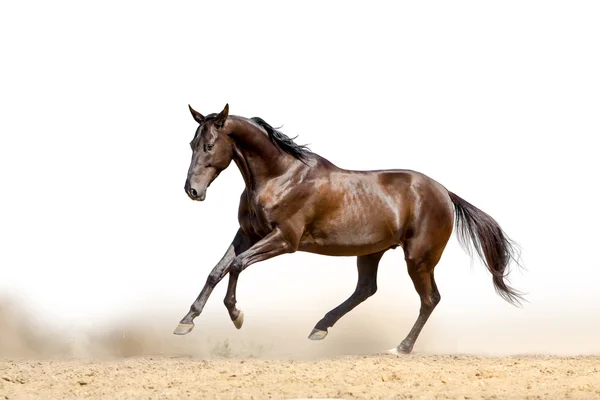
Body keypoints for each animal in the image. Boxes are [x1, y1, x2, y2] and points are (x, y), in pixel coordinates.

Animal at [172, 102, 520, 354]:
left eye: (209, 145)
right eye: (191, 143)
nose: (192, 191)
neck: (280, 177)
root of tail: (445, 192)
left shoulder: (284, 239)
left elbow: (236, 265)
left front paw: (236, 316)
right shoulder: (248, 234)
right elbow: (217, 270)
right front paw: (186, 322)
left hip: (419, 259)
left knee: (429, 299)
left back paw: (401, 348)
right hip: (371, 251)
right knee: (366, 289)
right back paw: (320, 328)